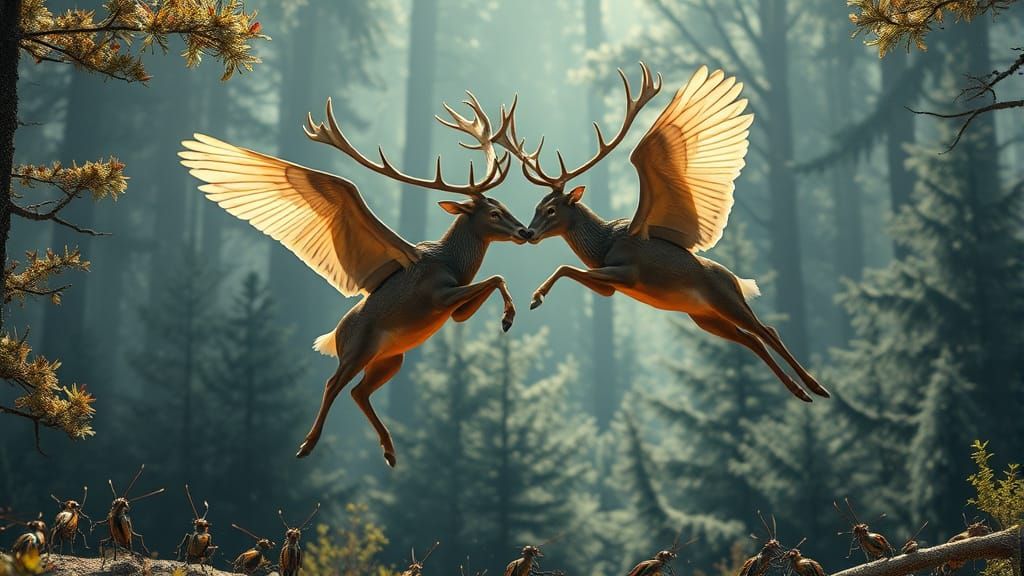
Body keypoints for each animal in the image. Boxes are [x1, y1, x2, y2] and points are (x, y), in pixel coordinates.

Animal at [179, 94, 529, 467]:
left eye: (505, 206)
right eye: (494, 213)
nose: (524, 232)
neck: (451, 261)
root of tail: (333, 336)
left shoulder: (454, 311)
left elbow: (493, 281)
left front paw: (507, 318)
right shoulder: (437, 296)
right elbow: (495, 276)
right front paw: (508, 318)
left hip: (390, 357)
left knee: (358, 391)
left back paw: (389, 451)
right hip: (359, 348)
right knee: (333, 384)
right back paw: (308, 445)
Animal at [483, 63, 829, 401]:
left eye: (552, 210)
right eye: (537, 206)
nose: (529, 233)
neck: (602, 246)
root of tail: (738, 281)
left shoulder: (629, 272)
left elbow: (566, 266)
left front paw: (536, 298)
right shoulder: (610, 286)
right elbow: (572, 270)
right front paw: (529, 301)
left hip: (725, 298)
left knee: (766, 330)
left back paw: (816, 387)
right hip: (704, 316)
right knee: (751, 339)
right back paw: (799, 391)